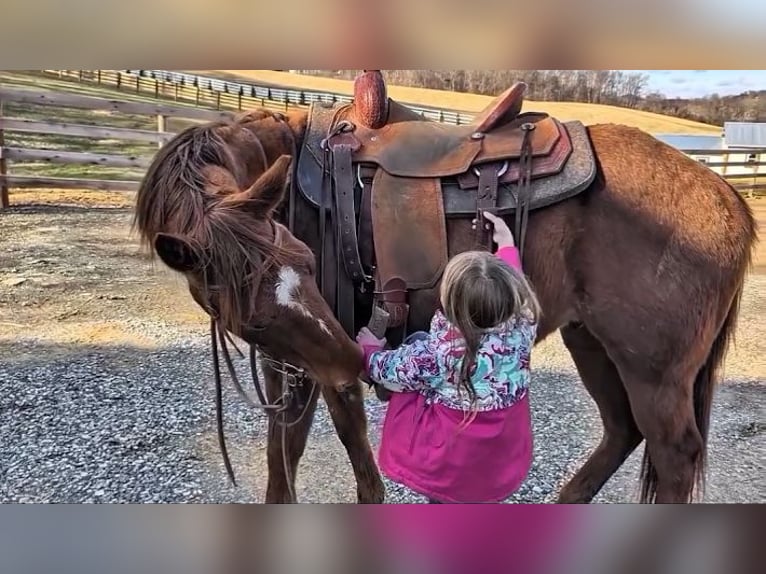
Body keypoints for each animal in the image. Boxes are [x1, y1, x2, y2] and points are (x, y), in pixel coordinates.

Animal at [133, 82, 756, 504]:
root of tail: (726, 193)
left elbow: (353, 453)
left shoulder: (324, 351)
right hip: (592, 343)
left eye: (309, 263)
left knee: (673, 453)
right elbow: (281, 452)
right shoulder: (289, 359)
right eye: (253, 320)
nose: (351, 357)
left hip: (653, 370)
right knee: (623, 430)